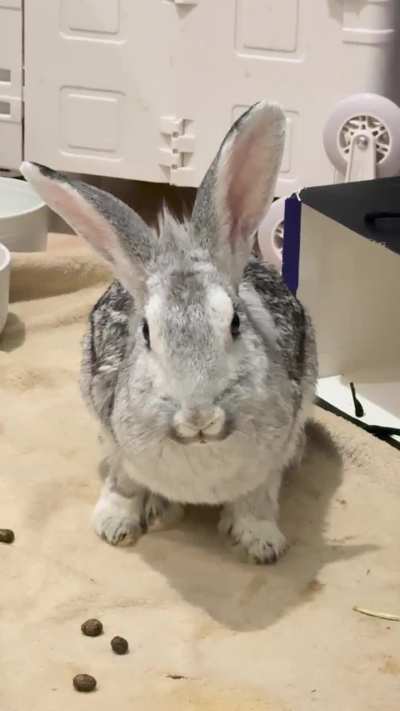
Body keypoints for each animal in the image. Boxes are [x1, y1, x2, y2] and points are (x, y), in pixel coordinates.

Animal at [21, 101, 317, 564]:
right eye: (146, 333)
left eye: (235, 323)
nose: (199, 418)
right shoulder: (118, 448)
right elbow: (122, 485)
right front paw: (114, 527)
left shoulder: (270, 462)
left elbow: (257, 501)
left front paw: (262, 545)